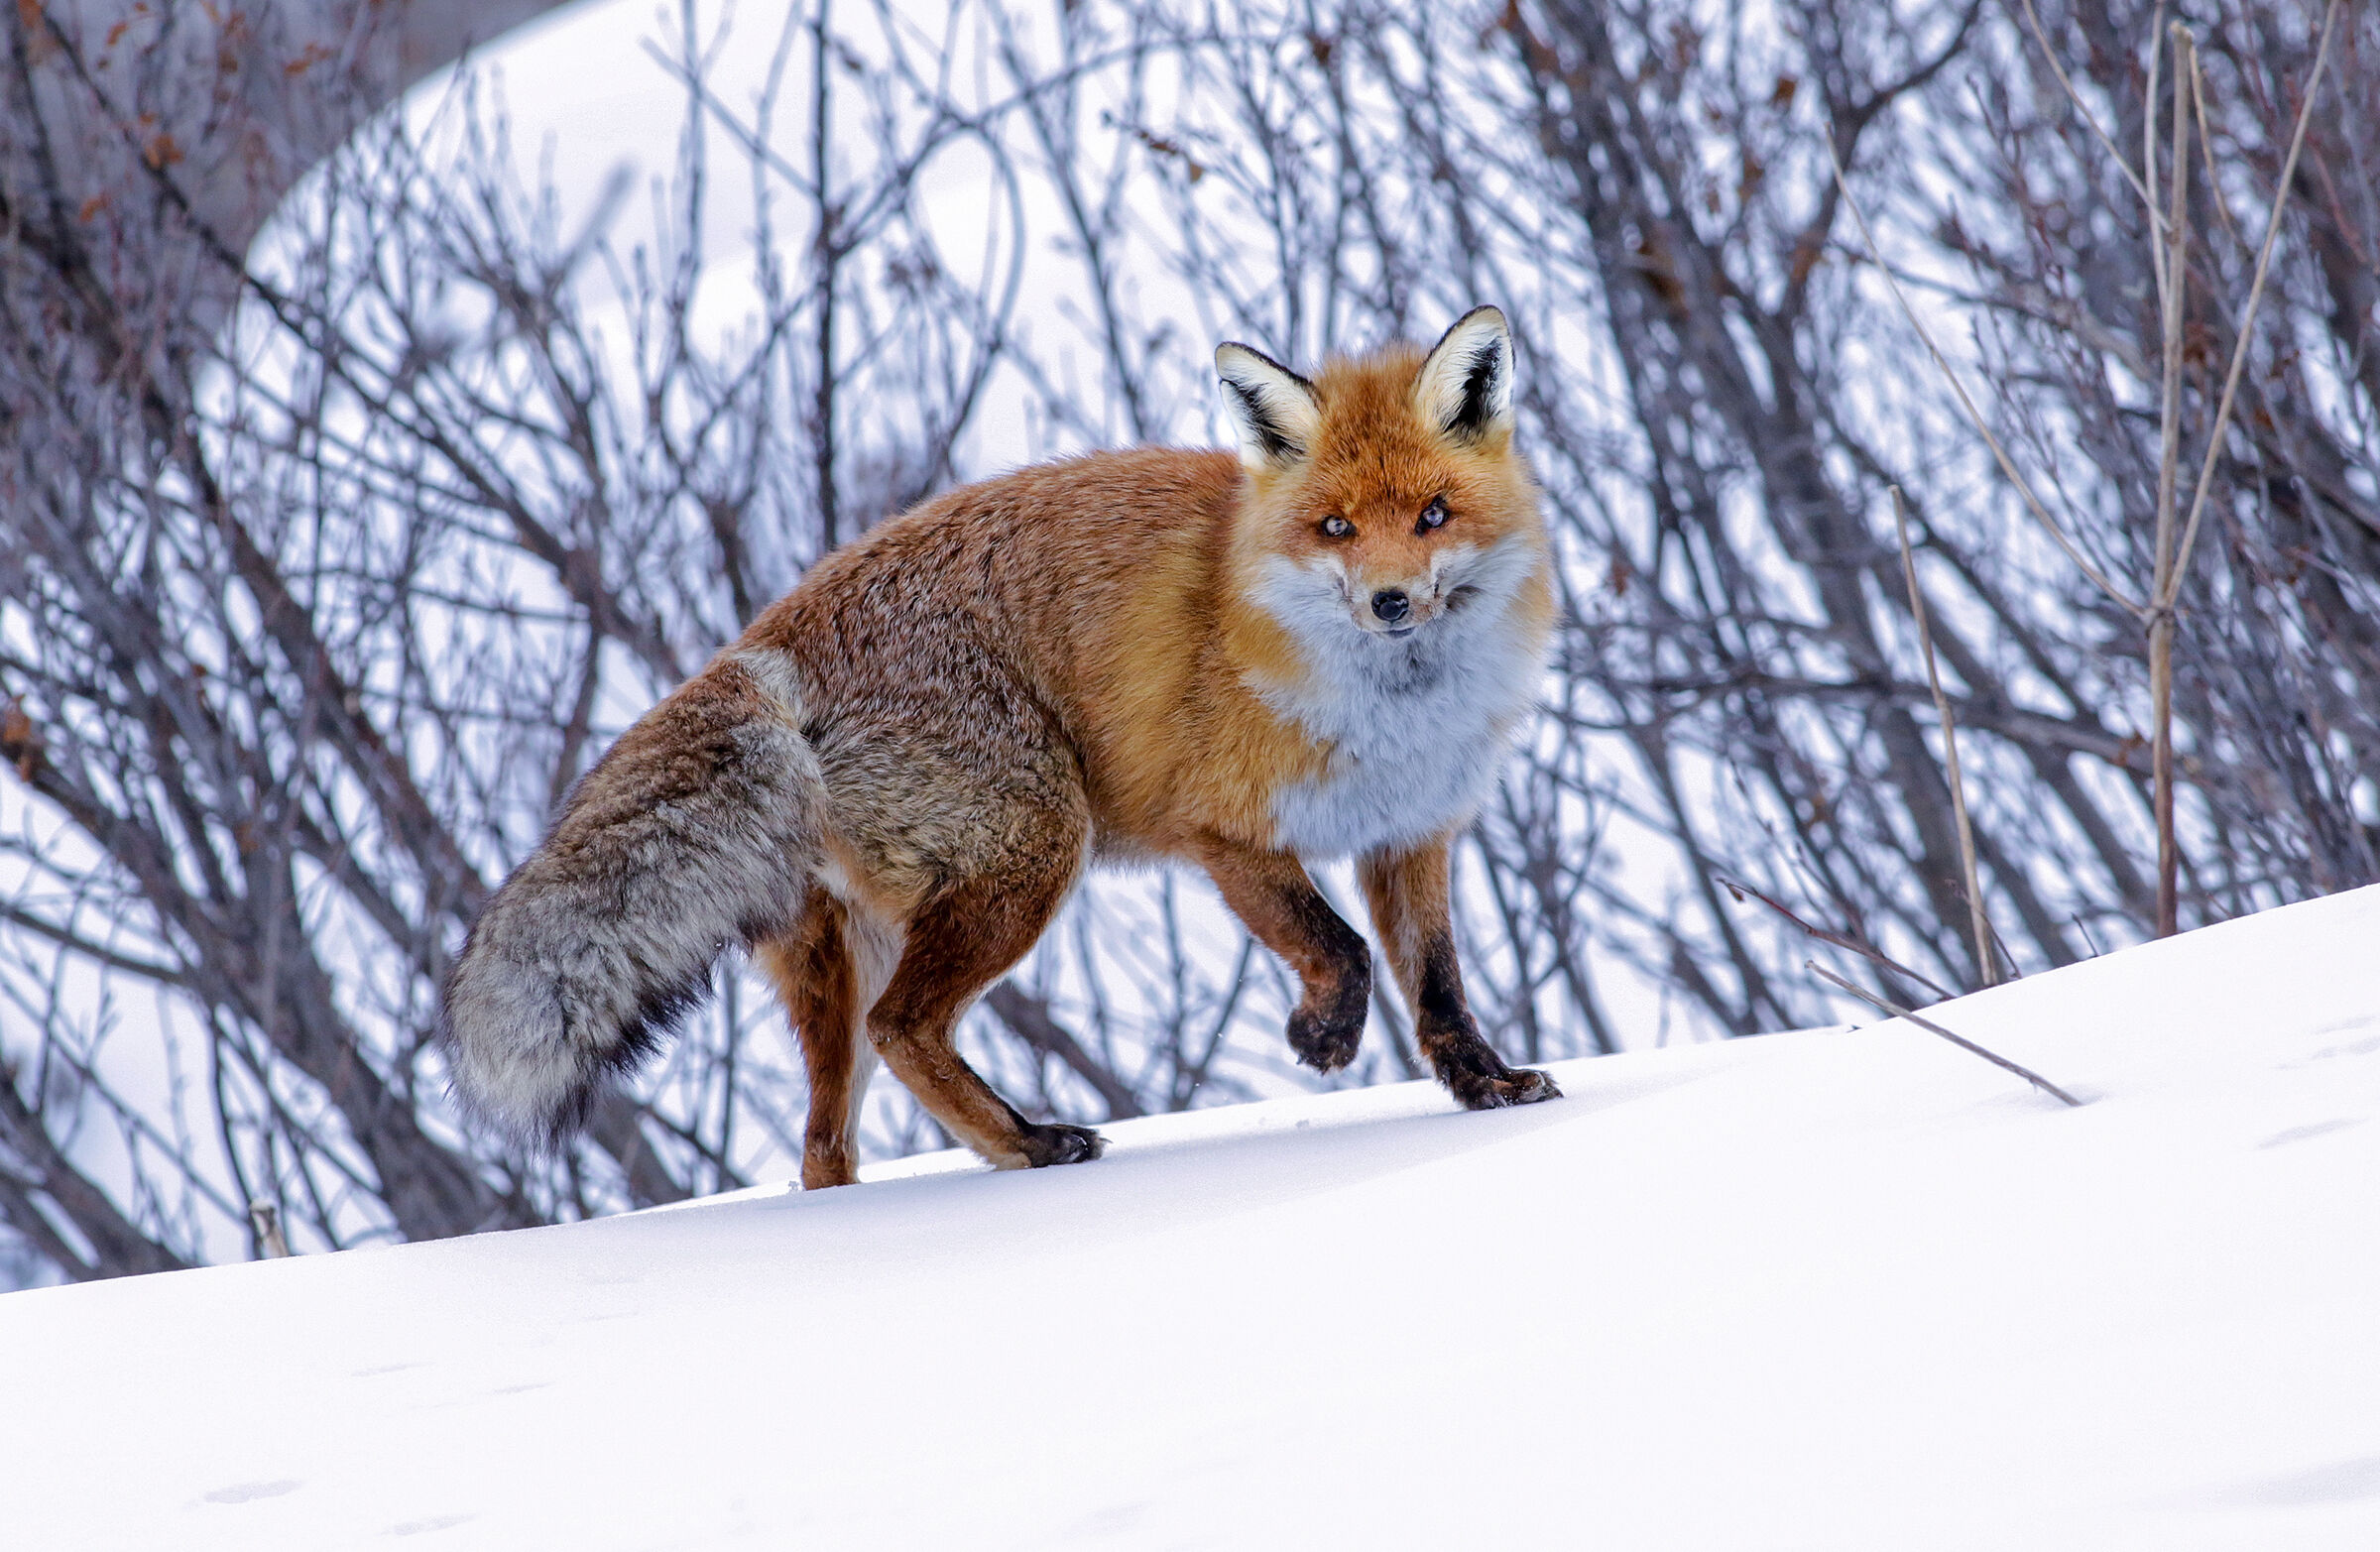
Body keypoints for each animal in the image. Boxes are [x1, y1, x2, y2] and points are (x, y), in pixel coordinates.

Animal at [439, 305, 1562, 1189]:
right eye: (1335, 528)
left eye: (1433, 514)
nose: (1390, 603)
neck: (1391, 713)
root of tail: (766, 639)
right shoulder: (1222, 831)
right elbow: (1340, 948)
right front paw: (1322, 1036)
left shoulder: (1411, 832)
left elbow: (1437, 986)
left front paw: (1487, 1086)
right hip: (1034, 849)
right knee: (903, 1028)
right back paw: (1029, 1144)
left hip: (850, 948)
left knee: (823, 1142)